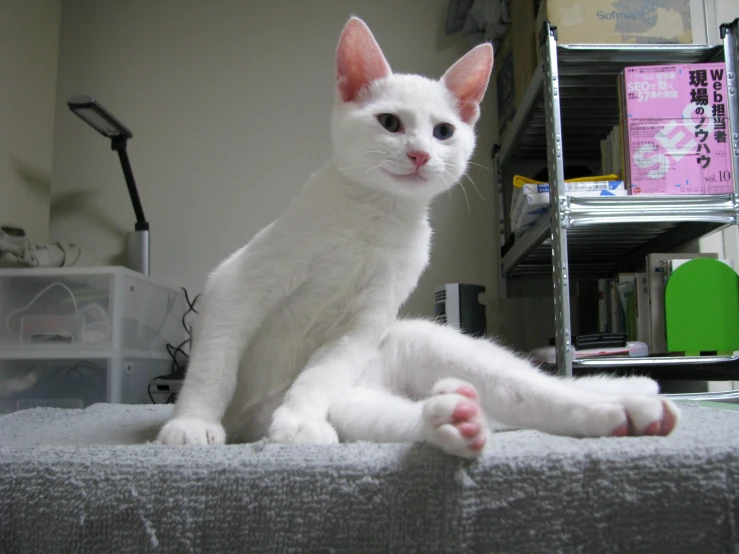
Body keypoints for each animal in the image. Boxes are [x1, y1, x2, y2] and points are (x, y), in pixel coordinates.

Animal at [159, 17, 680, 458]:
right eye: (390, 123)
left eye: (443, 131)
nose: (420, 154)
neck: (374, 218)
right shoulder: (238, 283)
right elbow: (213, 366)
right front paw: (193, 423)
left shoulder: (364, 325)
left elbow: (320, 374)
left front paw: (300, 420)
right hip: (358, 404)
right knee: (459, 415)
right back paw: (462, 420)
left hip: (437, 351)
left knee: (536, 390)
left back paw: (629, 404)